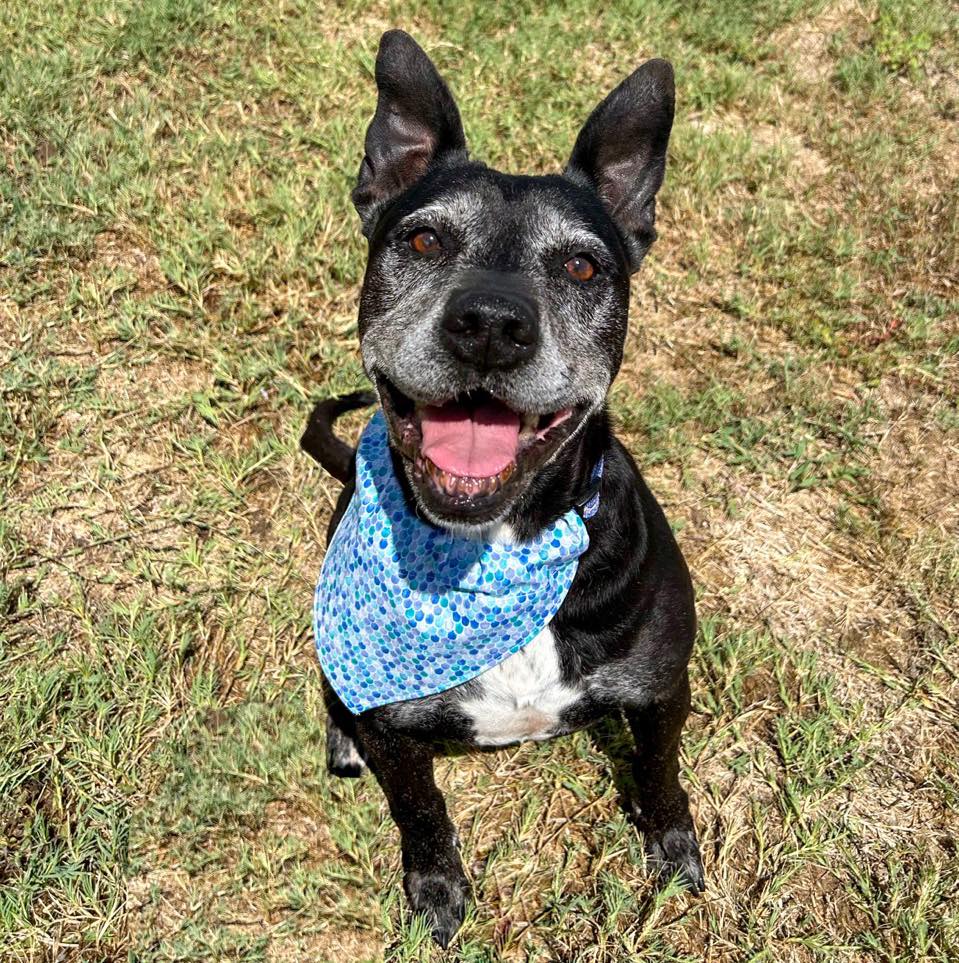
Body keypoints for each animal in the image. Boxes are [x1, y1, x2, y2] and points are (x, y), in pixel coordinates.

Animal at [308, 30, 704, 948]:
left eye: (582, 265)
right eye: (421, 243)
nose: (490, 323)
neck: (496, 548)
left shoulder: (661, 689)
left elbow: (659, 770)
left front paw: (671, 841)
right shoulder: (396, 733)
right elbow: (421, 809)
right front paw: (435, 886)